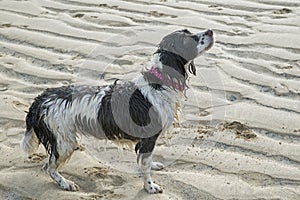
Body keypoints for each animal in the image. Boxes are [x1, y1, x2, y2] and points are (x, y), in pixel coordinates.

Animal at [20, 28, 213, 194]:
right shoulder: (149, 137)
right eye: (187, 39)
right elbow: (145, 166)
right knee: (49, 167)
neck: (158, 82)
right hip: (64, 142)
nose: (210, 31)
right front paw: (150, 187)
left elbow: (145, 161)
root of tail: (40, 100)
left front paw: (153, 166)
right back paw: (66, 183)